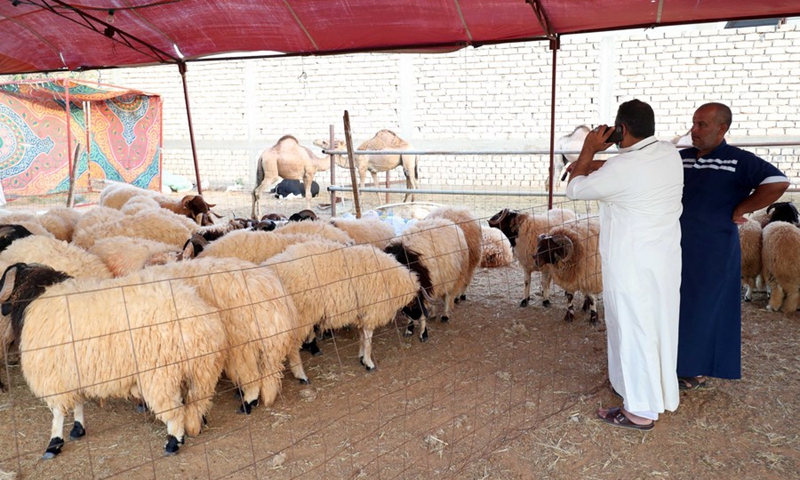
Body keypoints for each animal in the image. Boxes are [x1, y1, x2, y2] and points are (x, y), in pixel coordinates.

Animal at [0, 263, 226, 457]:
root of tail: (198, 317)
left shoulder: (53, 375)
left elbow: (58, 412)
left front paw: (54, 443)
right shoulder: (73, 370)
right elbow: (78, 402)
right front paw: (78, 428)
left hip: (160, 375)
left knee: (174, 410)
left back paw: (173, 442)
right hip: (199, 371)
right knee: (196, 402)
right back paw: (197, 424)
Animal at [263, 240, 421, 370]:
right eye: (415, 303)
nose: (419, 317)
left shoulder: (361, 312)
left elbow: (362, 337)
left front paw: (362, 357)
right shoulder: (371, 310)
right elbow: (368, 340)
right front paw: (369, 362)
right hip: (301, 315)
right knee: (293, 348)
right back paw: (301, 375)